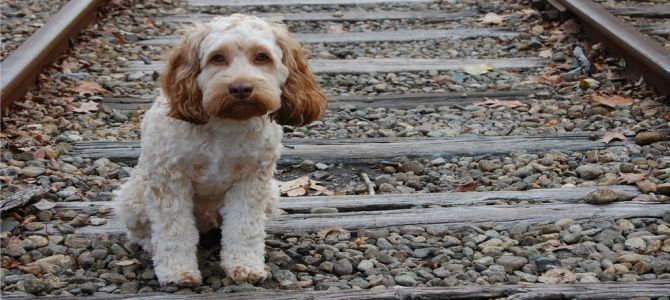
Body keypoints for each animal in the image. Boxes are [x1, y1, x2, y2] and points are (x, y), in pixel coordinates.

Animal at [115, 13, 328, 286]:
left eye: (262, 57)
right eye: (217, 57)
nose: (241, 87)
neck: (226, 123)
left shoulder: (252, 181)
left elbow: (244, 228)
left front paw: (244, 266)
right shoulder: (169, 181)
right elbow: (174, 231)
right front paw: (177, 272)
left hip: (270, 194)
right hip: (134, 196)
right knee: (141, 233)